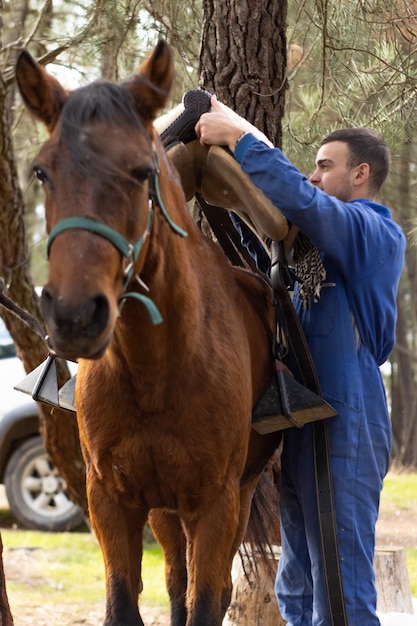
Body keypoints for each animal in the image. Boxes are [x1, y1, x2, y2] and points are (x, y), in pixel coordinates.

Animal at [17, 40, 282, 624]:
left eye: (142, 171)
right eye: (42, 172)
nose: (74, 315)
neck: (156, 370)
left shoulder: (216, 502)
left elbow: (206, 601)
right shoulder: (111, 500)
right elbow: (127, 601)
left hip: (238, 493)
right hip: (164, 508)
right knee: (175, 582)